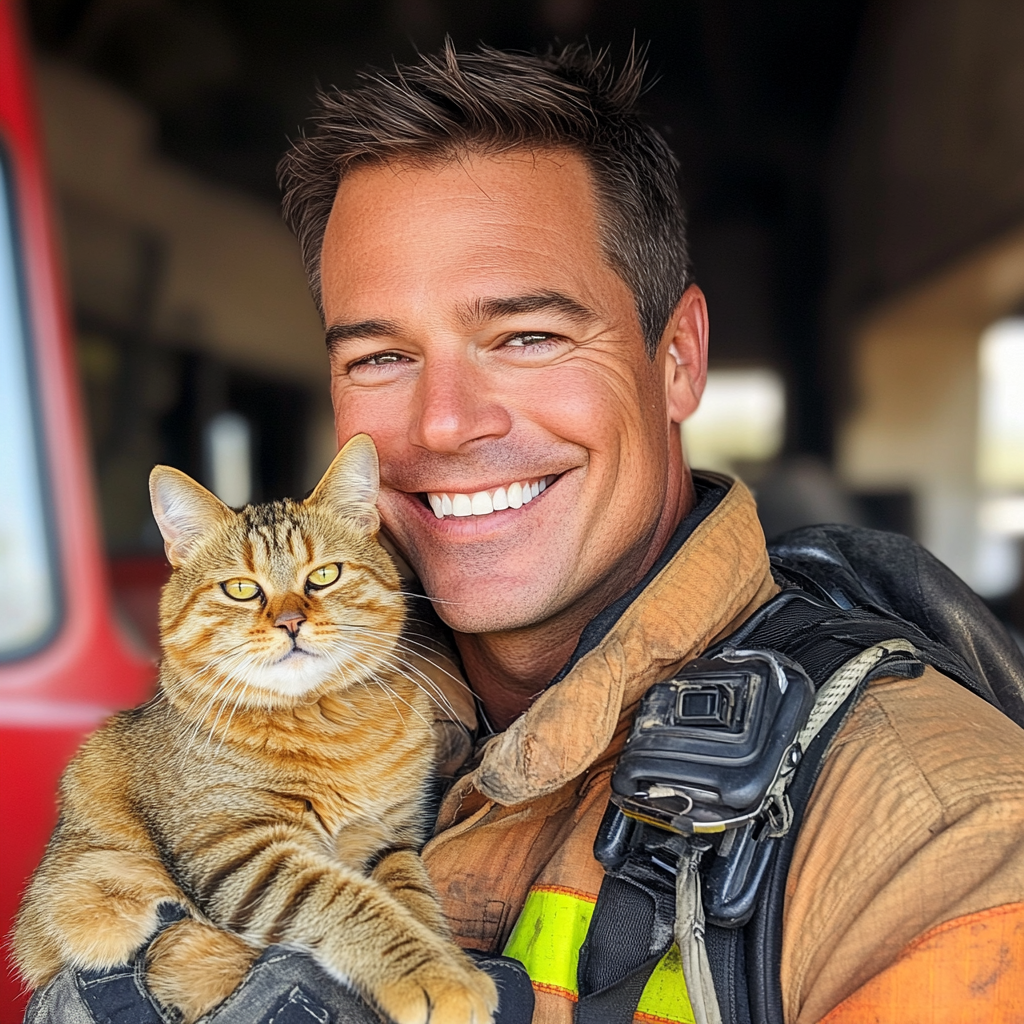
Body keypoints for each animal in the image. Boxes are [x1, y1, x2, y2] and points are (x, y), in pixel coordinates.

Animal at [12, 434, 497, 1024]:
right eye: (242, 589)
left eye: (324, 575)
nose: (291, 621)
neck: (323, 722)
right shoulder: (243, 854)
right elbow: (352, 904)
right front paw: (433, 975)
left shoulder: (391, 839)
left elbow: (411, 897)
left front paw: (448, 957)